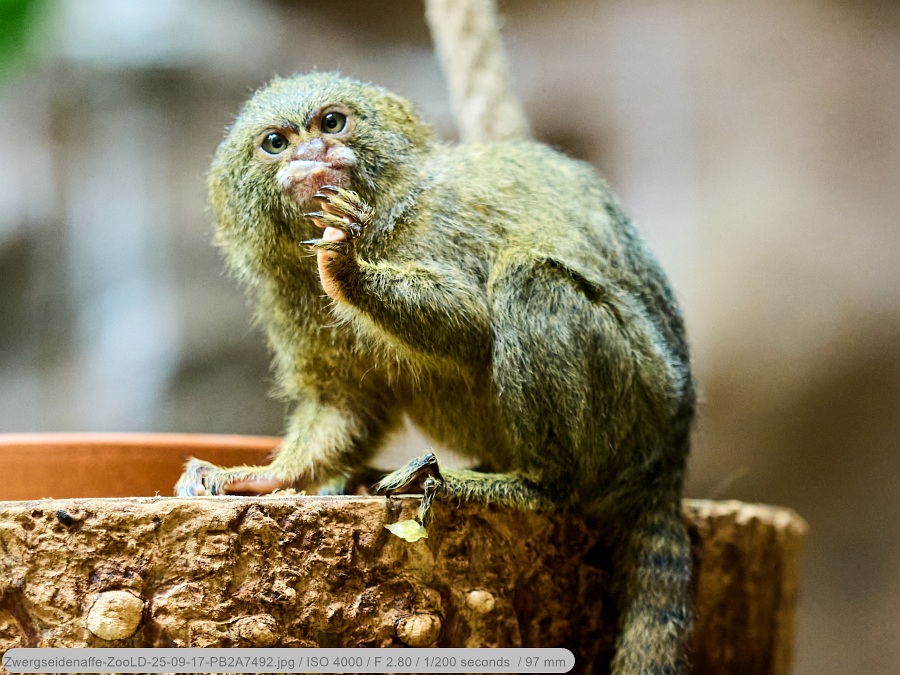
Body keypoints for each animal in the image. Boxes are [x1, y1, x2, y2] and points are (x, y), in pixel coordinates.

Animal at [175, 72, 695, 674]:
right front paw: (263, 478)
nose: (313, 153)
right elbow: (346, 406)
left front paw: (349, 268)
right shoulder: (289, 292)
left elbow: (471, 323)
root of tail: (669, 456)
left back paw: (524, 484)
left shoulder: (435, 224)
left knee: (531, 280)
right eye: (276, 143)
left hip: (641, 392)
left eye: (332, 122)